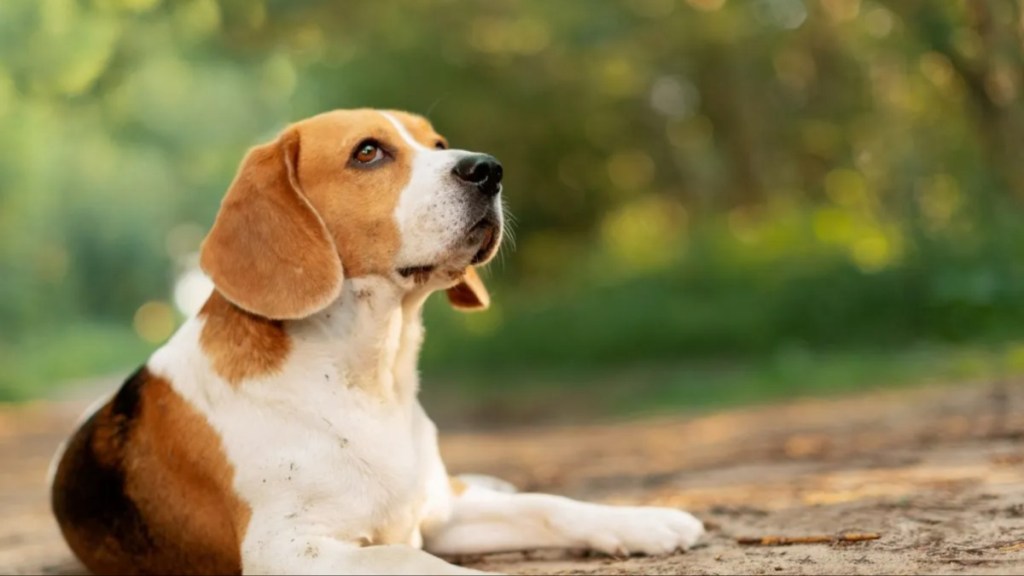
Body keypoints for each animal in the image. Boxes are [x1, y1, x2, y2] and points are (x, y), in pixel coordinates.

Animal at [48, 106, 704, 569]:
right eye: (368, 153)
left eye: (437, 144)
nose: (489, 170)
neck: (367, 378)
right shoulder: (290, 549)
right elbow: (413, 560)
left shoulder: (441, 513)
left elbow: (549, 506)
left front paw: (648, 523)